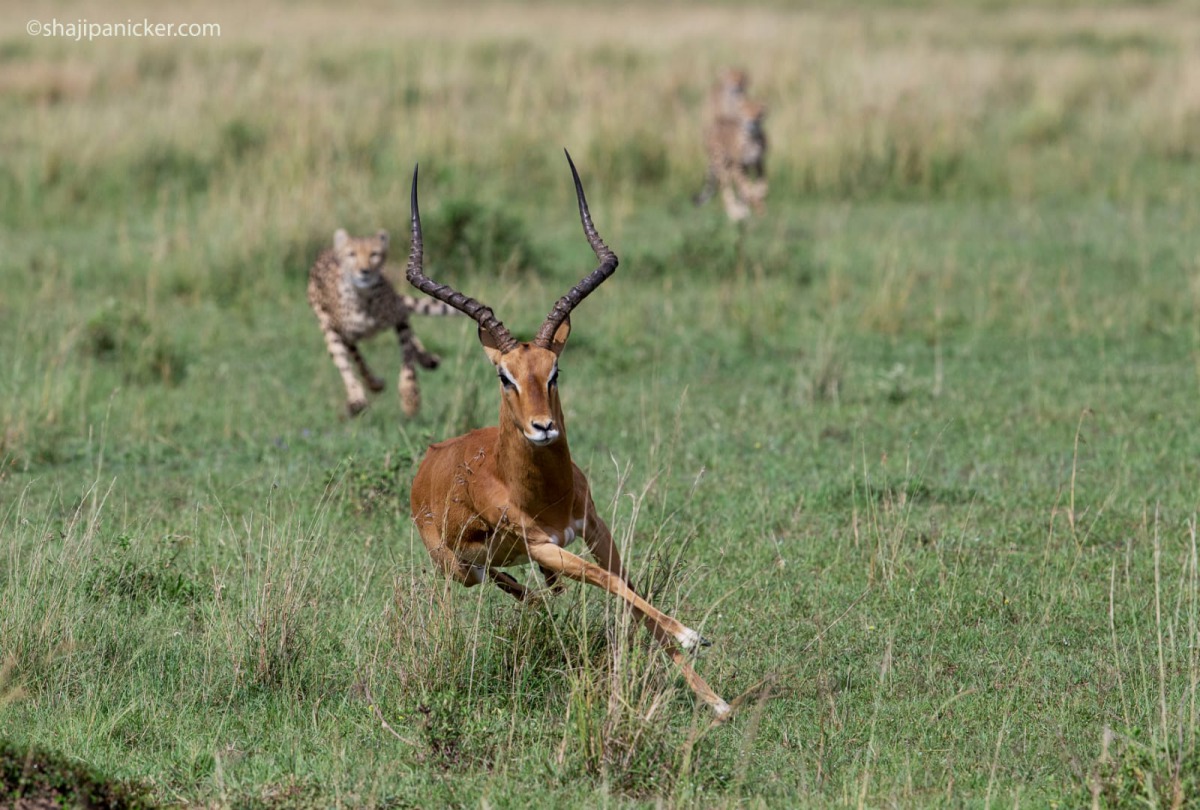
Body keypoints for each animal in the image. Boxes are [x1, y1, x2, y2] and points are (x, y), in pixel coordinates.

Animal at [304, 228, 458, 417]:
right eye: (352, 254)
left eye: (374, 254)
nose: (364, 271)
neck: (364, 298)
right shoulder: (345, 335)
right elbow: (358, 364)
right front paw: (368, 389)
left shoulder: (399, 316)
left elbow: (407, 358)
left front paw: (410, 398)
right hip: (327, 326)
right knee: (344, 362)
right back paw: (358, 397)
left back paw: (427, 358)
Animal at [696, 67, 768, 222]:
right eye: (746, 112)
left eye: (759, 114)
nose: (751, 122)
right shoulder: (738, 166)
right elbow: (746, 187)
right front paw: (753, 201)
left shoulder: (759, 163)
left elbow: (762, 185)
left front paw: (758, 195)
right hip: (721, 163)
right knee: (726, 187)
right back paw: (735, 212)